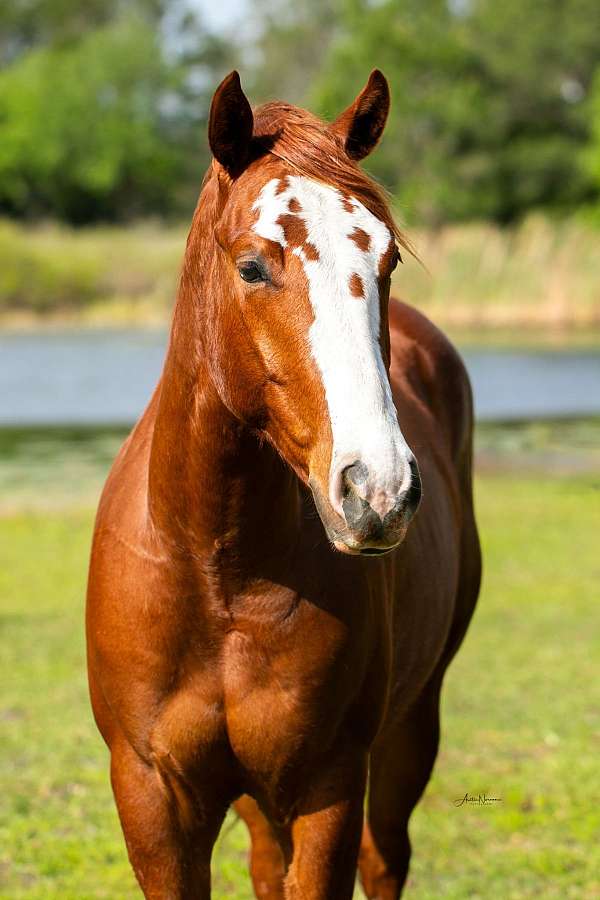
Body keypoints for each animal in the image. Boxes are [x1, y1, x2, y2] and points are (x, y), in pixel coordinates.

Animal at [86, 69, 481, 899]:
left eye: (387, 262)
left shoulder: (327, 787)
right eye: (251, 266)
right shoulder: (153, 799)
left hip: (409, 730)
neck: (220, 570)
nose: (378, 490)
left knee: (386, 859)